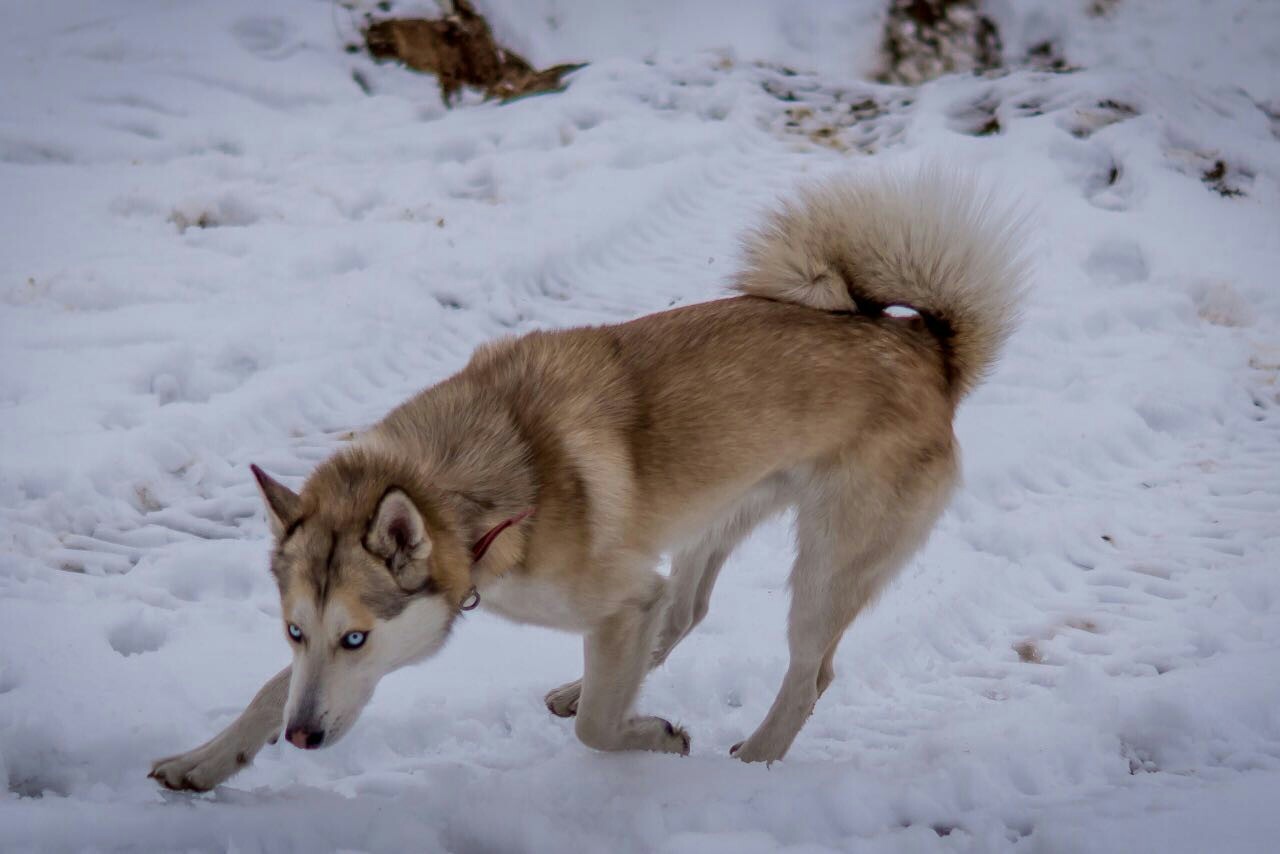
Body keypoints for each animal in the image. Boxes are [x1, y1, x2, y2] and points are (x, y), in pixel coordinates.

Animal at [149, 170, 1024, 793]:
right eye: (296, 631)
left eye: (356, 638)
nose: (303, 740)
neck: (474, 493)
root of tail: (925, 347)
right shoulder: (624, 588)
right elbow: (270, 689)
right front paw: (205, 760)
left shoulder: (622, 593)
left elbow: (599, 729)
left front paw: (653, 737)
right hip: (718, 513)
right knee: (686, 609)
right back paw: (586, 683)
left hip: (827, 567)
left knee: (809, 674)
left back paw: (752, 763)